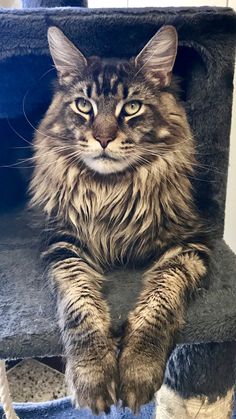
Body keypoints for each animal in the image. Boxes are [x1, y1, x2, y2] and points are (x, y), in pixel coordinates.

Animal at [29, 25, 210, 414]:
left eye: (132, 108)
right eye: (84, 106)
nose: (103, 138)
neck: (111, 192)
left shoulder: (189, 242)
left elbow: (160, 302)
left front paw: (137, 370)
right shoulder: (63, 242)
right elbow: (80, 304)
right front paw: (93, 375)